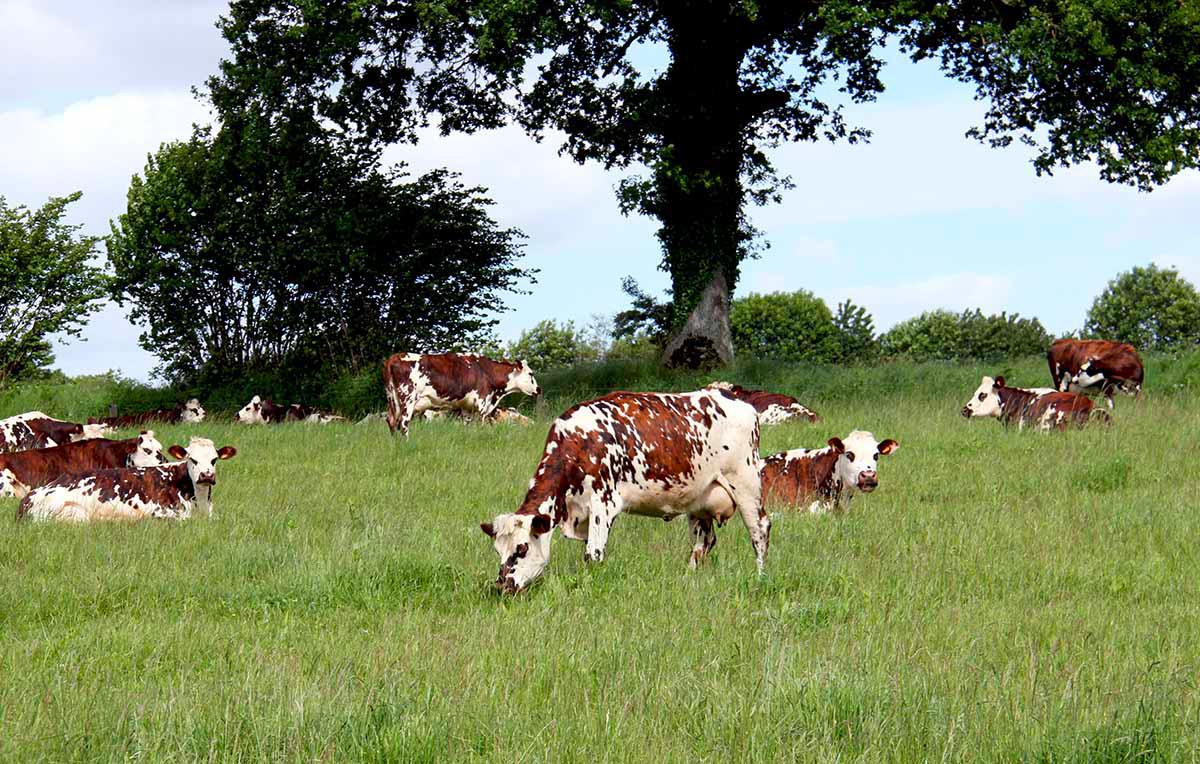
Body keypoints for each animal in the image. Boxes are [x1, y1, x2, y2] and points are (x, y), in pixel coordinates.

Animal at [383, 352, 541, 437]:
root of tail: (394, 357)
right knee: (403, 423)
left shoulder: (467, 408)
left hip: (393, 399)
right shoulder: (482, 404)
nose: (539, 389)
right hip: (407, 399)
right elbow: (481, 425)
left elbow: (467, 426)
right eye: (531, 373)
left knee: (392, 421)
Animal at [480, 389, 769, 594]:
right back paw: (690, 578)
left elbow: (593, 554)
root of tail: (734, 399)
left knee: (759, 529)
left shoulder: (603, 503)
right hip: (701, 501)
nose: (502, 585)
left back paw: (760, 578)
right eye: (498, 550)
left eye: (522, 548)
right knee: (703, 543)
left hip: (746, 483)